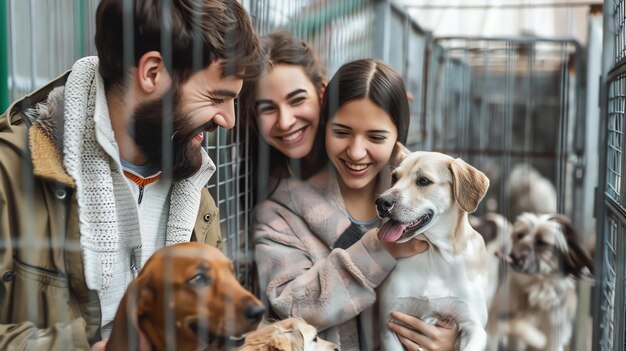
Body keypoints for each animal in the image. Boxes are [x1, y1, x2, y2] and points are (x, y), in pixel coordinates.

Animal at [376, 151, 488, 351]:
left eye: (423, 181)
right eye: (394, 177)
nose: (381, 202)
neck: (434, 256)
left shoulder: (474, 327)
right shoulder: (389, 325)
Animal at [486, 213, 592, 350]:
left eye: (541, 242)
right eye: (520, 235)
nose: (513, 256)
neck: (537, 285)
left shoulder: (555, 332)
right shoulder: (497, 315)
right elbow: (515, 325)